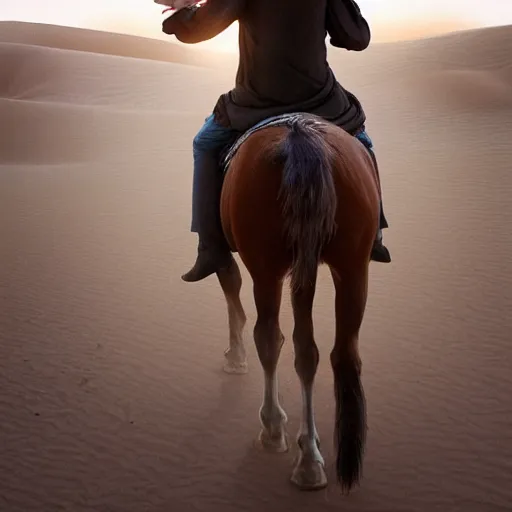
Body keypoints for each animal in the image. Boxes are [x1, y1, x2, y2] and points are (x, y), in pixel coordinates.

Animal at [209, 113, 380, 492]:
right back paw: (317, 460)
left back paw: (276, 432)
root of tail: (299, 134)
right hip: (352, 263)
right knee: (337, 353)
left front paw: (235, 356)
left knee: (269, 337)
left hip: (267, 267)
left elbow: (230, 284)